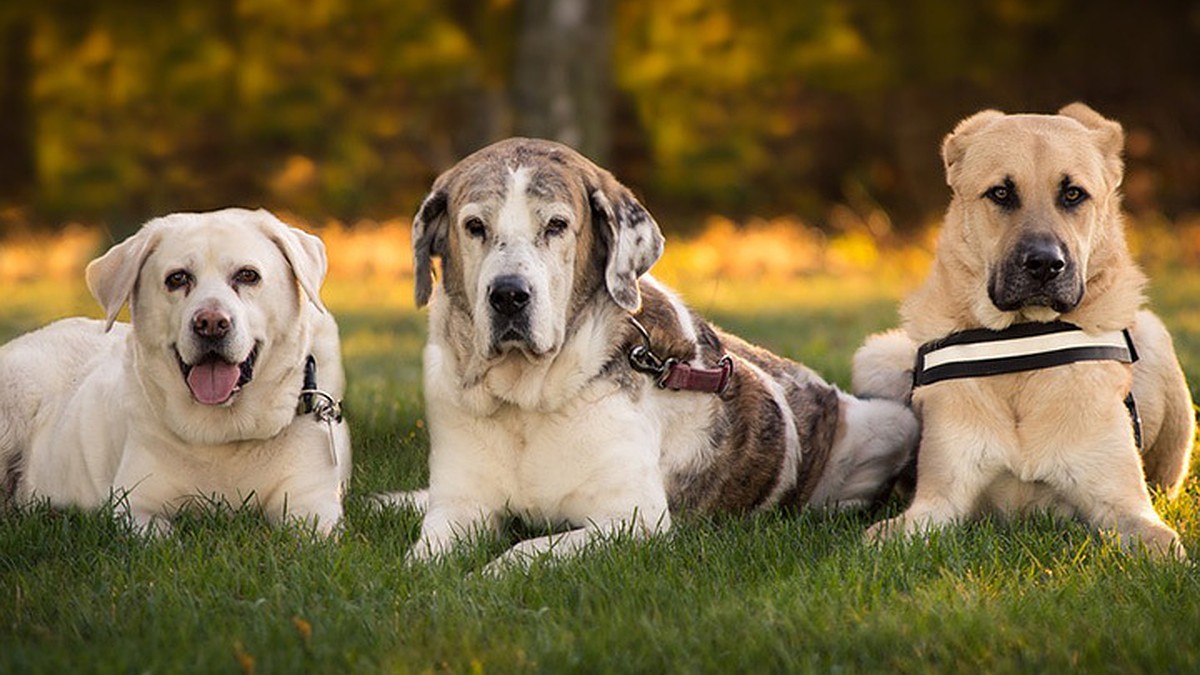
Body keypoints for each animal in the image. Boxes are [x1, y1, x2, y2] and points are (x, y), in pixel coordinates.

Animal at [0, 207, 350, 533]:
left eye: (248, 275)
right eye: (178, 278)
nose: (211, 323)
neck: (224, 432)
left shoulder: (311, 502)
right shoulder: (136, 506)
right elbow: (163, 535)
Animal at [854, 102, 1190, 554]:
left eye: (1073, 194)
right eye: (1001, 193)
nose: (1045, 264)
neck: (1022, 341)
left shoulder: (1124, 506)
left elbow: (1166, 548)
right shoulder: (936, 505)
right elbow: (873, 541)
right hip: (877, 356)